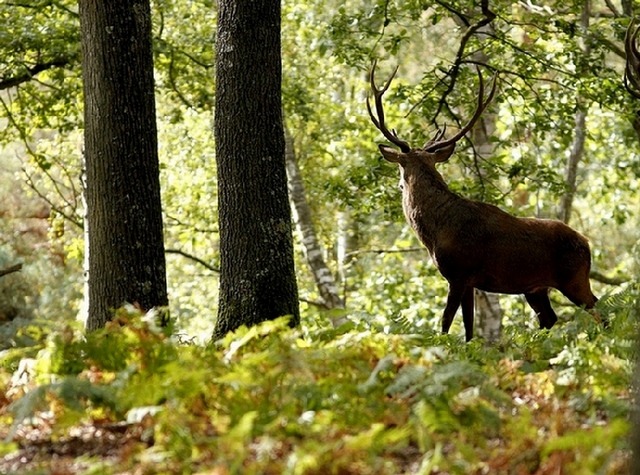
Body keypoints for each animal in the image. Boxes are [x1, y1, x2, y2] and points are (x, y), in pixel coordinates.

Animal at [367, 62, 598, 341]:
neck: (435, 233)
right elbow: (468, 327)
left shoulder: (459, 273)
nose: (400, 185)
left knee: (600, 311)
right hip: (535, 288)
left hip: (573, 278)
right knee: (549, 318)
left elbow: (446, 322)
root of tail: (588, 244)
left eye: (401, 168)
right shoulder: (470, 282)